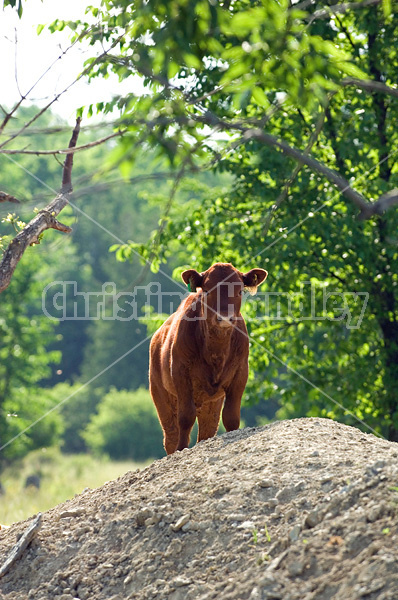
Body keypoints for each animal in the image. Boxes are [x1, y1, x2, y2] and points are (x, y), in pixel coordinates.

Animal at [149, 262, 268, 454]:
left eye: (240, 291)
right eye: (207, 290)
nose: (225, 318)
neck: (216, 351)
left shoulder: (241, 373)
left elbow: (231, 417)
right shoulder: (181, 374)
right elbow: (186, 417)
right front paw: (182, 448)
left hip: (211, 403)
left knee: (207, 431)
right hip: (161, 394)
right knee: (171, 434)